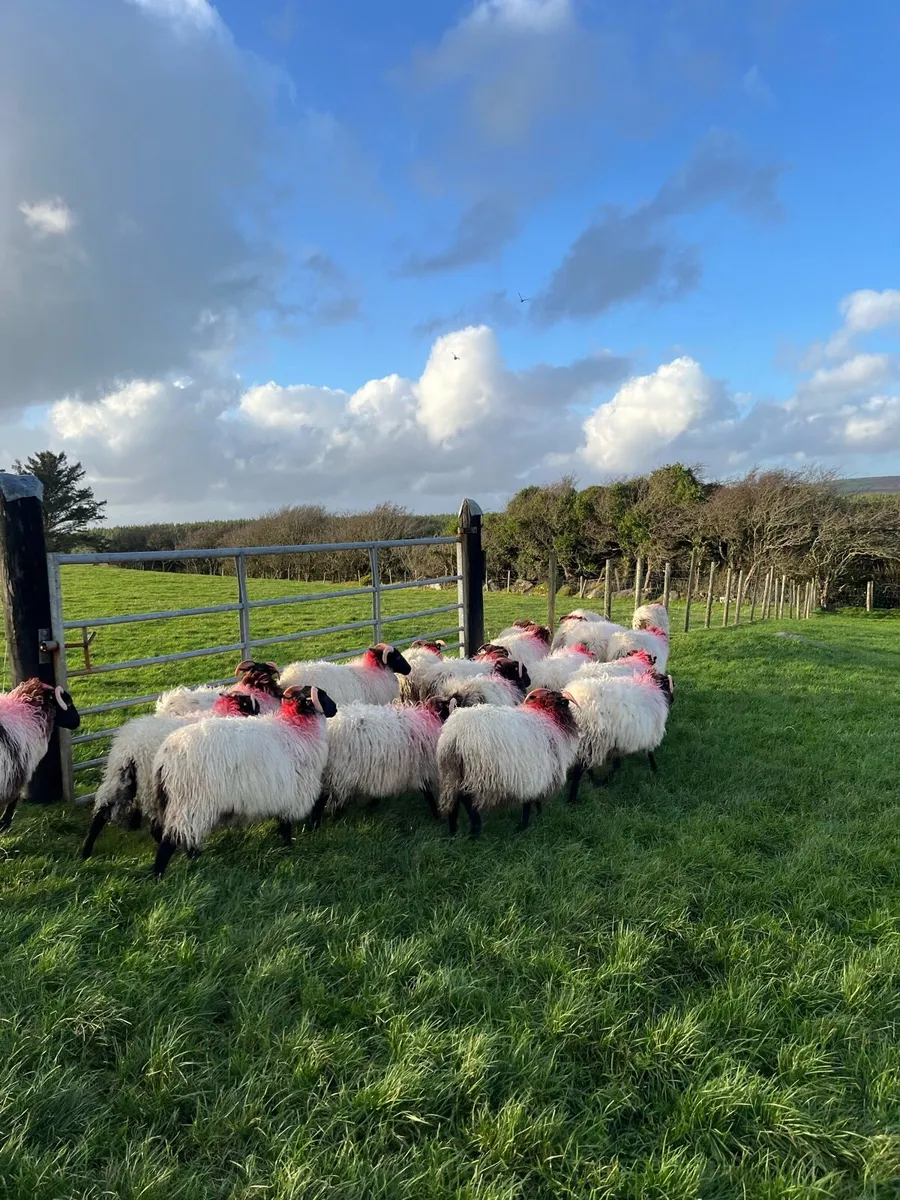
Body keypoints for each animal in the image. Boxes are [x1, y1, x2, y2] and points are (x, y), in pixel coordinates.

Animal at [81, 690, 262, 859]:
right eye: (249, 705)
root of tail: (131, 749)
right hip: (149, 783)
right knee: (154, 823)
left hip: (118, 777)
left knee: (102, 813)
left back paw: (86, 851)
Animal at [150, 685, 338, 878]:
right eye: (322, 696)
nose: (335, 709)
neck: (295, 729)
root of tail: (165, 757)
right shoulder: (290, 793)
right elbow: (286, 826)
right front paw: (289, 847)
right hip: (190, 802)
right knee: (170, 841)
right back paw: (159, 876)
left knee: (186, 836)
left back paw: (196, 862)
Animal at [319, 695, 454, 821]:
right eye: (448, 705)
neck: (429, 720)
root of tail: (332, 727)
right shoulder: (420, 769)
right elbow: (428, 794)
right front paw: (436, 816)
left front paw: (372, 805)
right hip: (342, 772)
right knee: (332, 797)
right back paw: (333, 817)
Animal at [437, 688, 579, 836]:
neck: (547, 717)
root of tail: (454, 735)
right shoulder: (535, 772)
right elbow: (529, 801)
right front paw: (524, 825)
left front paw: (537, 814)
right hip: (476, 772)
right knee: (467, 799)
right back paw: (475, 829)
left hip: (451, 771)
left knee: (455, 800)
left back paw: (453, 832)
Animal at [565, 670, 674, 802]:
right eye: (670, 684)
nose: (673, 700)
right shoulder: (649, 733)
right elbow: (649, 753)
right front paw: (654, 768)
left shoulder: (618, 741)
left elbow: (617, 763)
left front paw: (608, 778)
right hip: (591, 740)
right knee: (579, 769)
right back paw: (572, 798)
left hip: (586, 743)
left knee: (585, 766)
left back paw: (596, 781)